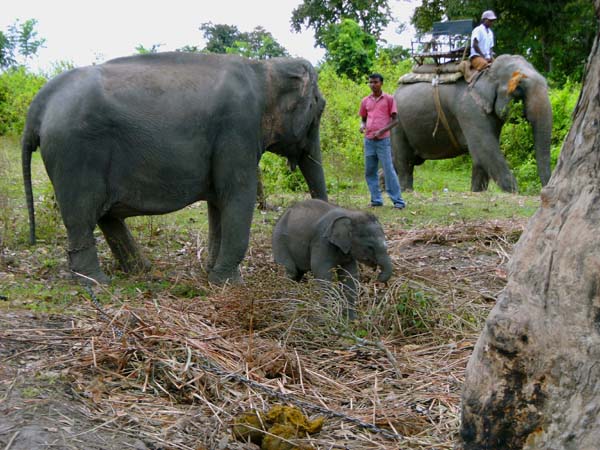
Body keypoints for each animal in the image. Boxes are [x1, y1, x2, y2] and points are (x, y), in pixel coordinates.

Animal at [22, 51, 328, 284]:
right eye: (320, 107)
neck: (264, 68)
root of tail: (39, 103)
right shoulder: (238, 128)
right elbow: (239, 195)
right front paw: (230, 284)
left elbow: (219, 203)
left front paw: (212, 275)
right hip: (75, 153)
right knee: (82, 216)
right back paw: (97, 283)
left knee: (103, 215)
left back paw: (140, 271)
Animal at [392, 54, 552, 192]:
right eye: (519, 88)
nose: (543, 190)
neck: (486, 73)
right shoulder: (469, 109)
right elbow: (485, 149)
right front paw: (514, 192)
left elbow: (480, 157)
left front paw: (477, 192)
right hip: (398, 124)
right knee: (404, 162)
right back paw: (406, 191)